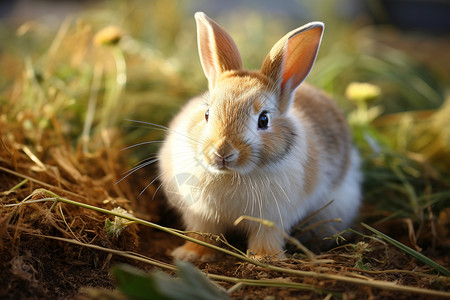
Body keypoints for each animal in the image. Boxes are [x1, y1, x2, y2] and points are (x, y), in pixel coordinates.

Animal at [158, 12, 362, 260]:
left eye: (263, 119)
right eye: (207, 113)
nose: (222, 152)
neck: (233, 175)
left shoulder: (273, 218)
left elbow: (266, 237)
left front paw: (264, 258)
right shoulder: (200, 215)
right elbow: (203, 234)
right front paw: (191, 254)